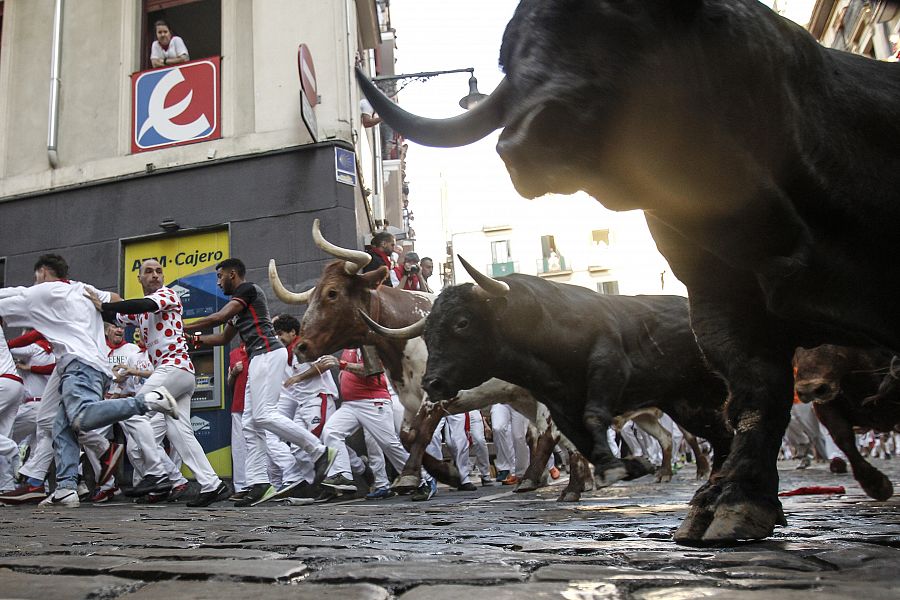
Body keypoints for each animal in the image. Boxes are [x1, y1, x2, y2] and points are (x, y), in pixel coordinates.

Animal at [358, 0, 900, 544]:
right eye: (429, 330)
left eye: (464, 322)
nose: (434, 382)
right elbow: (583, 430)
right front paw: (629, 469)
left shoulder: (609, 363)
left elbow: (596, 413)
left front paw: (629, 471)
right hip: (687, 401)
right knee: (716, 433)